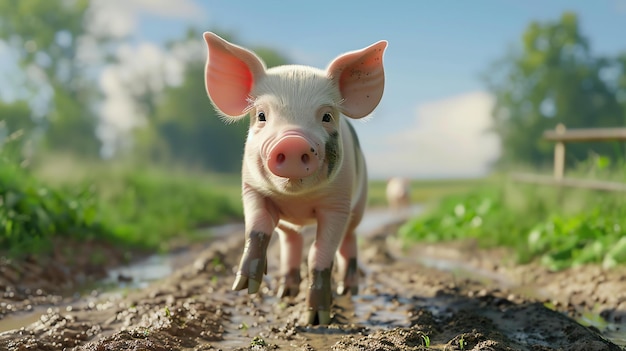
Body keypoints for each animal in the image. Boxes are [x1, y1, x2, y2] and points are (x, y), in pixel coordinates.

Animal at [202, 32, 386, 324]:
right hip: (291, 224)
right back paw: (285, 293)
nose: (291, 142)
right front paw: (243, 287)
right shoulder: (251, 189)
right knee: (290, 241)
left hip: (358, 205)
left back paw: (348, 291)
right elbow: (257, 229)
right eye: (261, 115)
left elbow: (320, 255)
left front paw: (317, 319)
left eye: (326, 116)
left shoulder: (337, 204)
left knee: (348, 241)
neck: (298, 199)